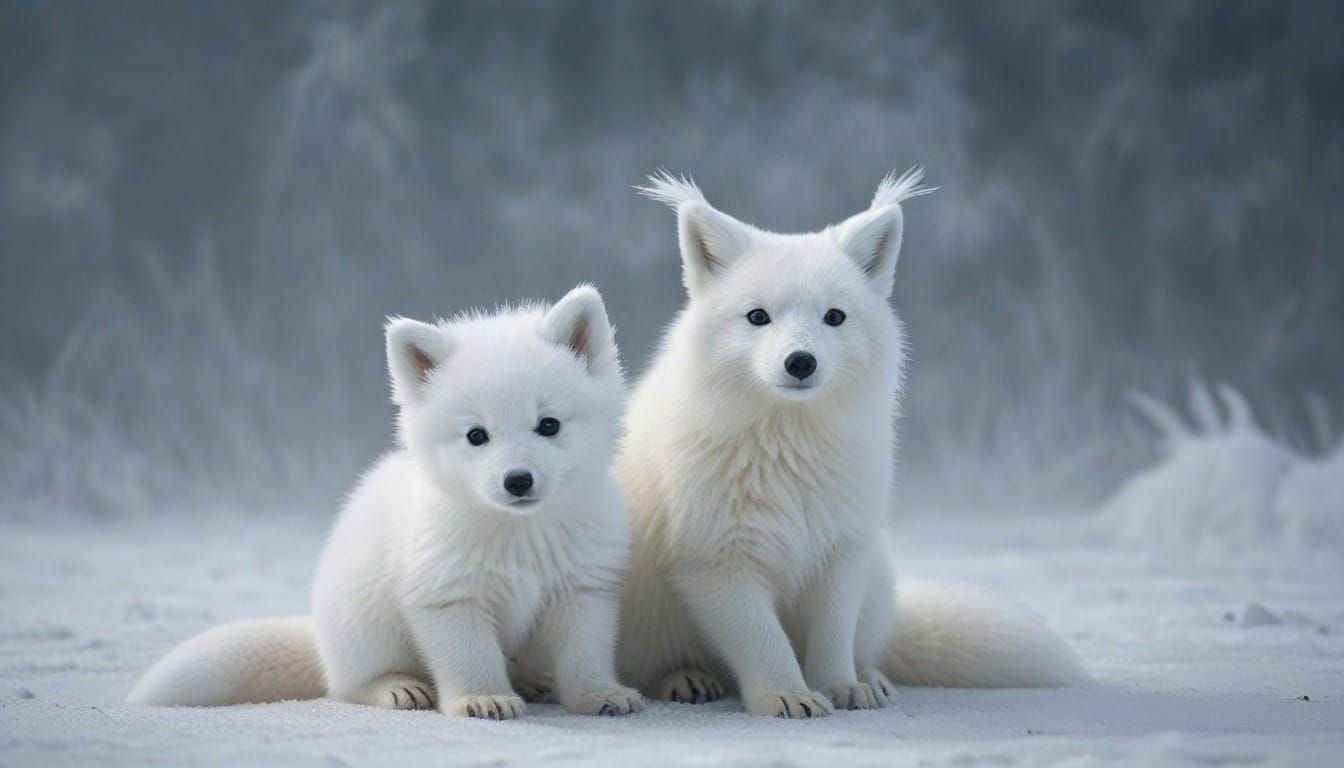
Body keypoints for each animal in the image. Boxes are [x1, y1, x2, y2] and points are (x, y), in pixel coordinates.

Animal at [128, 286, 645, 719]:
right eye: (477, 435)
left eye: (549, 424)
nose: (517, 480)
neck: (519, 532)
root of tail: (319, 639)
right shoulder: (446, 595)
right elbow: (470, 653)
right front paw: (483, 698)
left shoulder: (584, 587)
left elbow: (584, 651)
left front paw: (599, 694)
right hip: (365, 617)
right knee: (350, 683)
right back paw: (398, 687)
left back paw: (536, 681)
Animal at [614, 169, 1087, 718]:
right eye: (758, 317)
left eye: (834, 317)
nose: (801, 362)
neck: (788, 450)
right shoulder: (715, 563)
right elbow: (764, 640)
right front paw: (788, 694)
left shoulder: (843, 548)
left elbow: (833, 632)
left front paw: (840, 685)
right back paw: (685, 678)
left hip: (879, 575)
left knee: (866, 643)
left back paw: (871, 677)